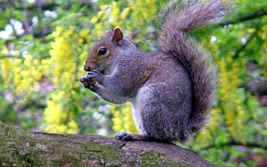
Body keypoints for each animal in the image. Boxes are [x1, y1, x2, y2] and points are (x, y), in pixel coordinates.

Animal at [80, 0, 230, 142]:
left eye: (102, 51)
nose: (86, 68)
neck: (117, 60)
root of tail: (181, 130)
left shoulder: (132, 68)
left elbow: (121, 86)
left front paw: (96, 76)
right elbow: (119, 98)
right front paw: (87, 83)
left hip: (153, 102)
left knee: (156, 136)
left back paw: (134, 136)